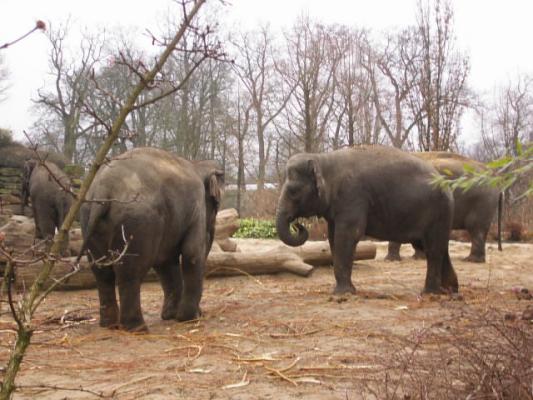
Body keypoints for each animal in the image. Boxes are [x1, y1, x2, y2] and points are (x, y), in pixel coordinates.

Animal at [80, 147, 224, 332]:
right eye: (216, 205)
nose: (200, 312)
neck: (197, 164)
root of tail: (103, 189)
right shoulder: (196, 207)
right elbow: (192, 254)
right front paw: (189, 318)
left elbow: (165, 262)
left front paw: (170, 316)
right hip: (138, 221)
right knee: (130, 272)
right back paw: (137, 328)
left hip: (89, 219)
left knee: (102, 273)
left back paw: (109, 324)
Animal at [274, 145, 458, 296]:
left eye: (293, 191)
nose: (297, 224)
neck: (322, 159)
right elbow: (333, 238)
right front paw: (348, 291)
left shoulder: (352, 196)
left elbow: (347, 236)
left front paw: (342, 294)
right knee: (437, 248)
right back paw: (450, 290)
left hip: (438, 212)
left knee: (433, 249)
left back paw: (429, 293)